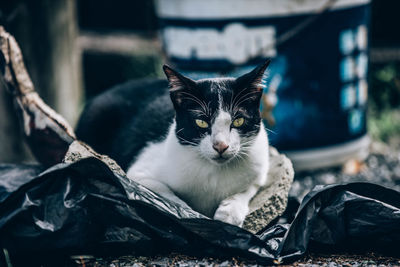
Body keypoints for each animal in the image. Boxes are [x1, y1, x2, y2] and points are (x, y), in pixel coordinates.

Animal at [76, 59, 270, 227]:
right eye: (201, 122)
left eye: (238, 121)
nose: (220, 146)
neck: (215, 172)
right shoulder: (139, 172)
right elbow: (166, 196)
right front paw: (190, 215)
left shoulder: (259, 168)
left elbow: (249, 188)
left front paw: (230, 212)